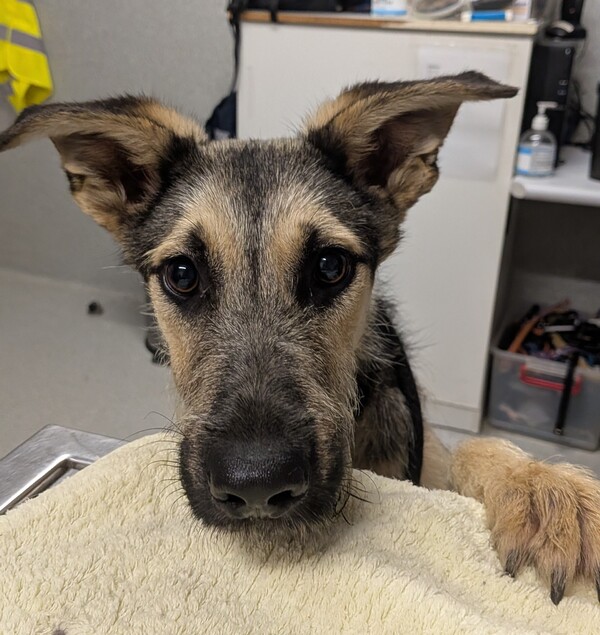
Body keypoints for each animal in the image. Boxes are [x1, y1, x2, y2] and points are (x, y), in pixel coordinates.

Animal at [2, 71, 599, 606]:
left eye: (330, 267)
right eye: (182, 275)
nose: (256, 486)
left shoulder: (424, 452)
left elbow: (471, 447)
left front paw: (543, 488)